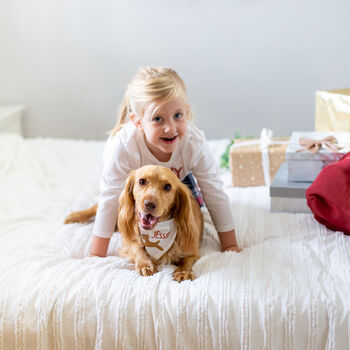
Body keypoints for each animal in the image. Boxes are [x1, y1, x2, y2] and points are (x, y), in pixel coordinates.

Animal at [64, 164, 204, 282]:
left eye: (168, 187)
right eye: (142, 181)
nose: (149, 204)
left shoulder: (193, 251)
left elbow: (186, 260)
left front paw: (183, 271)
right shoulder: (128, 244)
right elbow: (138, 248)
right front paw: (145, 264)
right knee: (97, 208)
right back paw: (76, 216)